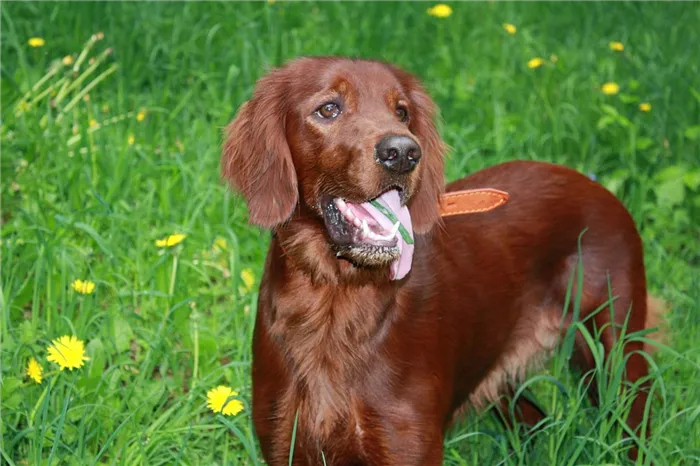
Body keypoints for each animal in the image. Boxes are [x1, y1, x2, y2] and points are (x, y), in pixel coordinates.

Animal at [220, 56, 660, 464]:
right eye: (328, 108)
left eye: (402, 112)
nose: (402, 152)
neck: (337, 300)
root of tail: (595, 185)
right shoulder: (286, 444)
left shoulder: (409, 445)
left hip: (615, 353)